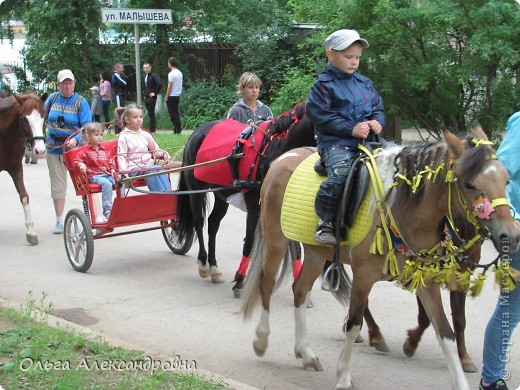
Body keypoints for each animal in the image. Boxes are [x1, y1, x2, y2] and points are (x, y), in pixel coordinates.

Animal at [0, 92, 47, 244]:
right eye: (25, 119)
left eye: (43, 117)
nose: (40, 150)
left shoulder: (16, 168)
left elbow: (24, 196)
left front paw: (31, 231)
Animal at [176, 103, 312, 296]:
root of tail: (197, 133)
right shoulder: (255, 209)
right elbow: (249, 242)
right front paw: (240, 280)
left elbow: (296, 250)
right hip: (196, 190)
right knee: (199, 222)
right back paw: (203, 264)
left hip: (223, 195)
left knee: (213, 224)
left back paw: (214, 268)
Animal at [241, 126, 520, 388]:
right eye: (470, 184)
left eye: (506, 179)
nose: (510, 236)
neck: (401, 206)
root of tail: (282, 159)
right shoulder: (364, 276)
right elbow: (354, 324)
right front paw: (344, 376)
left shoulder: (427, 281)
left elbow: (445, 331)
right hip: (276, 242)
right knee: (266, 285)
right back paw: (261, 341)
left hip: (314, 254)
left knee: (299, 290)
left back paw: (306, 354)